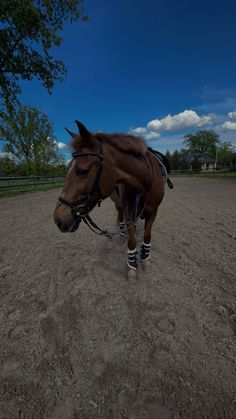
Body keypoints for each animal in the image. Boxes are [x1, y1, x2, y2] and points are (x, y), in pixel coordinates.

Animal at [53, 121, 171, 278]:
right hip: (119, 204)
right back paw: (121, 234)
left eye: (82, 171)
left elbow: (147, 235)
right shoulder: (129, 210)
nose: (58, 219)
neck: (145, 181)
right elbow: (131, 239)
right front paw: (132, 265)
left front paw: (145, 259)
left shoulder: (153, 211)